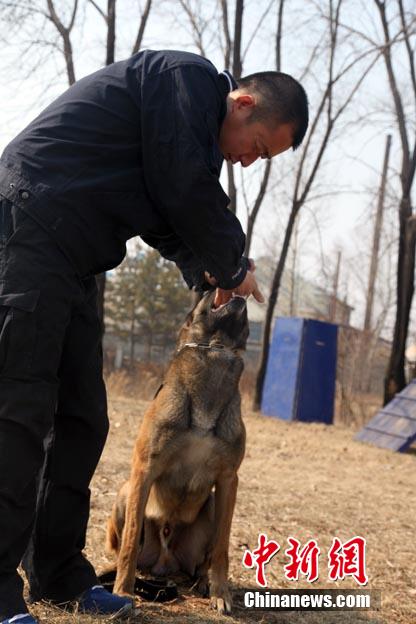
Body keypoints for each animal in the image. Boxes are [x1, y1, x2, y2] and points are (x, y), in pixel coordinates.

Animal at [107, 290, 249, 612]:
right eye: (207, 292)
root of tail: (164, 562)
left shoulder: (228, 480)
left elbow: (222, 547)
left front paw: (220, 593)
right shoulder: (144, 469)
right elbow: (131, 540)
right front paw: (122, 591)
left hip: (211, 505)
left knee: (203, 562)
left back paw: (203, 582)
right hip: (125, 492)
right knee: (124, 547)